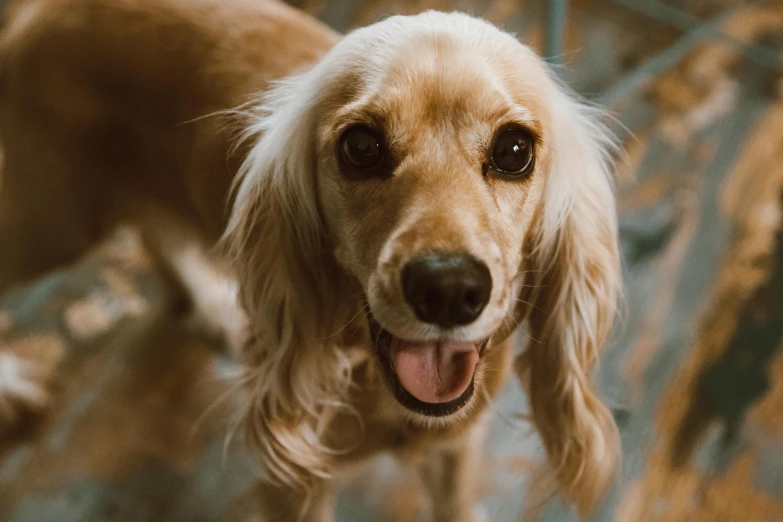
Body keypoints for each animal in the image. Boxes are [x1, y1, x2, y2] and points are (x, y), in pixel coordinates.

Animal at [0, 0, 624, 516]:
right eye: (362, 146)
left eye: (514, 150)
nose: (448, 290)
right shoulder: (295, 483)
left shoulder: (457, 449)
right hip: (52, 222)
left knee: (156, 231)